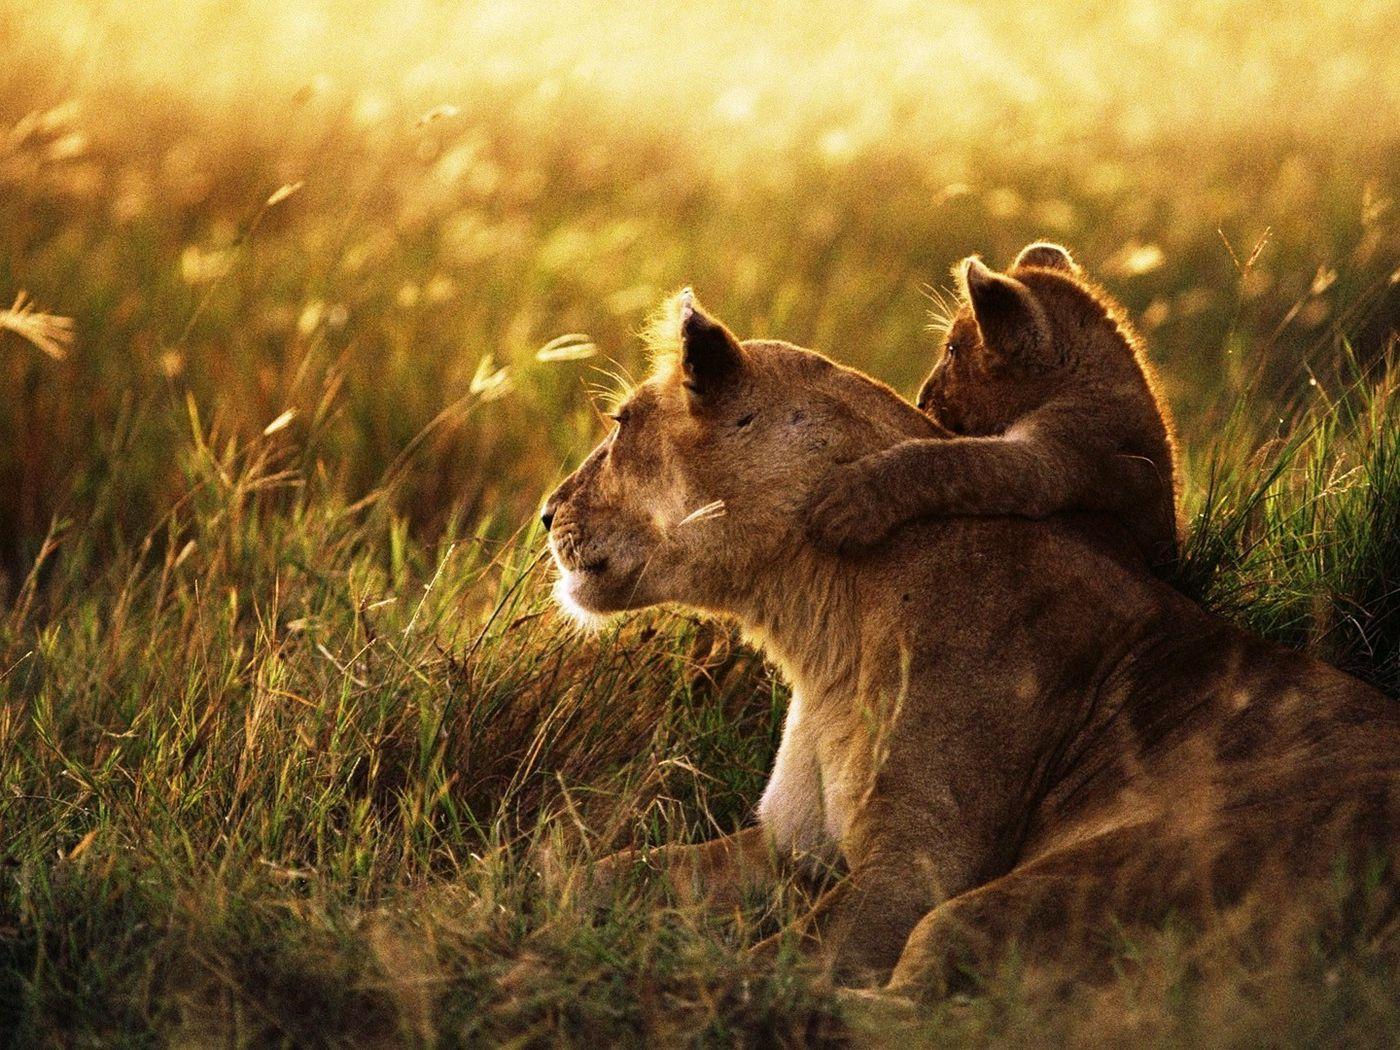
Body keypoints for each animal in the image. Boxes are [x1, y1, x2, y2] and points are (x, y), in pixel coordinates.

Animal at [541, 291, 1398, 997]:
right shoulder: (793, 847)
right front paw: (541, 899)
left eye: (619, 424)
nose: (547, 513)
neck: (819, 626)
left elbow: (779, 964)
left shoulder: (915, 865)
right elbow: (607, 873)